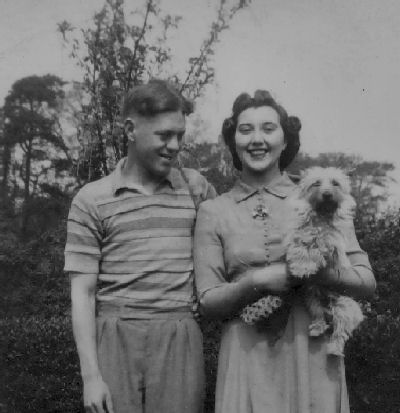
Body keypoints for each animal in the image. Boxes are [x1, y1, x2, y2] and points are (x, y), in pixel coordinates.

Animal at [240, 167, 364, 356]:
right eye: (316, 183)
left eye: (335, 183)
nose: (327, 194)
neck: (320, 215)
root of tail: (328, 305)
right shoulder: (296, 237)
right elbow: (300, 249)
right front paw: (300, 267)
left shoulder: (329, 244)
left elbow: (317, 248)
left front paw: (306, 265)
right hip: (312, 299)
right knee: (320, 316)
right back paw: (316, 328)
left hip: (344, 307)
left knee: (340, 331)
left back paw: (334, 349)